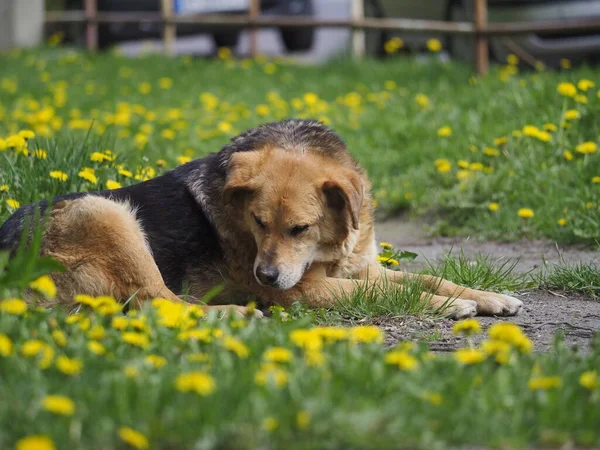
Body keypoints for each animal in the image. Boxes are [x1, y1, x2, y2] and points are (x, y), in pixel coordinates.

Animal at [0, 118, 520, 318]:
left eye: (299, 229)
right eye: (257, 222)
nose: (264, 278)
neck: (332, 248)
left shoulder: (360, 267)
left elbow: (430, 278)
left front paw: (485, 297)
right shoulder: (307, 290)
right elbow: (390, 292)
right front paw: (446, 307)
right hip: (108, 212)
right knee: (159, 301)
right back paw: (235, 313)